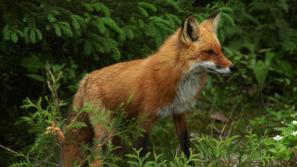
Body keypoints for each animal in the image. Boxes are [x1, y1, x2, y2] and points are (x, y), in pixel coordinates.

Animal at [61, 11, 235, 166]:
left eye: (220, 50)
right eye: (209, 52)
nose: (233, 67)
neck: (177, 75)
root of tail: (86, 78)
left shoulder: (179, 112)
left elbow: (186, 147)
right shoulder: (145, 119)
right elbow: (141, 154)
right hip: (105, 133)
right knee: (95, 161)